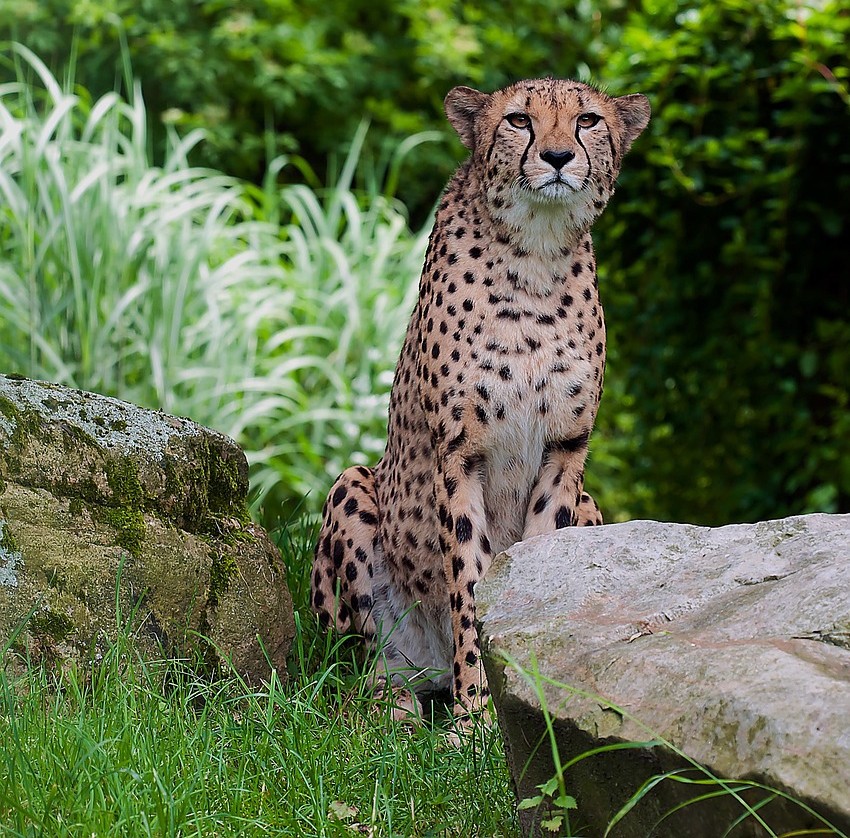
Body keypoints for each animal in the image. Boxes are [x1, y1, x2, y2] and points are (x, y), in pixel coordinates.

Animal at [311, 77, 650, 720]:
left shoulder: (565, 451)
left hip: (591, 506)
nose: (557, 157)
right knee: (352, 676)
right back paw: (395, 708)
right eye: (519, 120)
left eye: (587, 120)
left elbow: (535, 574)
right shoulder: (459, 454)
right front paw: (476, 720)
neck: (536, 256)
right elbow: (470, 583)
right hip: (354, 490)